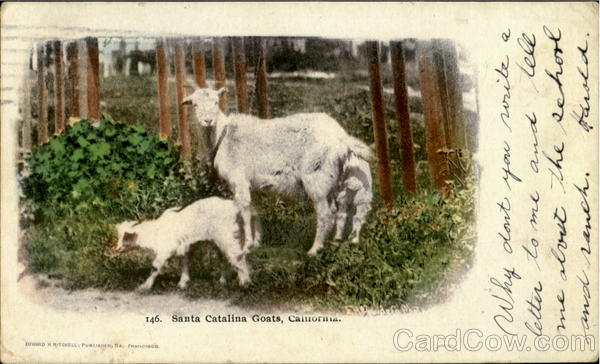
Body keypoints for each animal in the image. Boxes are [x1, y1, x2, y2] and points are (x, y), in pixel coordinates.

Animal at [113, 196, 252, 290]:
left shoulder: (165, 250)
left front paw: (145, 286)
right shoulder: (183, 247)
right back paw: (222, 281)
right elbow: (184, 264)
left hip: (227, 237)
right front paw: (183, 283)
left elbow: (155, 267)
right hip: (219, 241)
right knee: (224, 259)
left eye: (124, 239)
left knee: (238, 258)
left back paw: (245, 283)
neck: (156, 231)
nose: (117, 248)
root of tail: (234, 207)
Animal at [180, 86, 372, 255]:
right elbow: (252, 211)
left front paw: (247, 245)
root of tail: (340, 136)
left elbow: (244, 211)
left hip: (316, 177)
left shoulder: (239, 180)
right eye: (195, 105)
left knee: (326, 214)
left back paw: (314, 249)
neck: (223, 136)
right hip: (335, 180)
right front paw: (256, 242)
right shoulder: (248, 184)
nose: (208, 121)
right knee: (341, 211)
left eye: (215, 102)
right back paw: (336, 242)